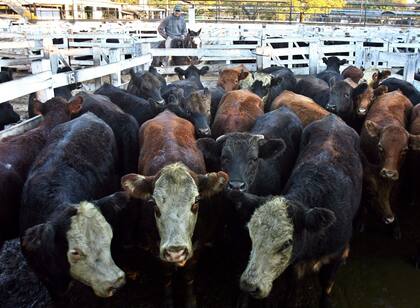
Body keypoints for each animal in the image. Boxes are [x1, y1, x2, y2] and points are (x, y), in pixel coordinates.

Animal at [120, 110, 228, 308]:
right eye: (154, 204)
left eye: (196, 202)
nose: (175, 250)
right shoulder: (156, 248)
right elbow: (167, 277)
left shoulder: (197, 247)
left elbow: (189, 276)